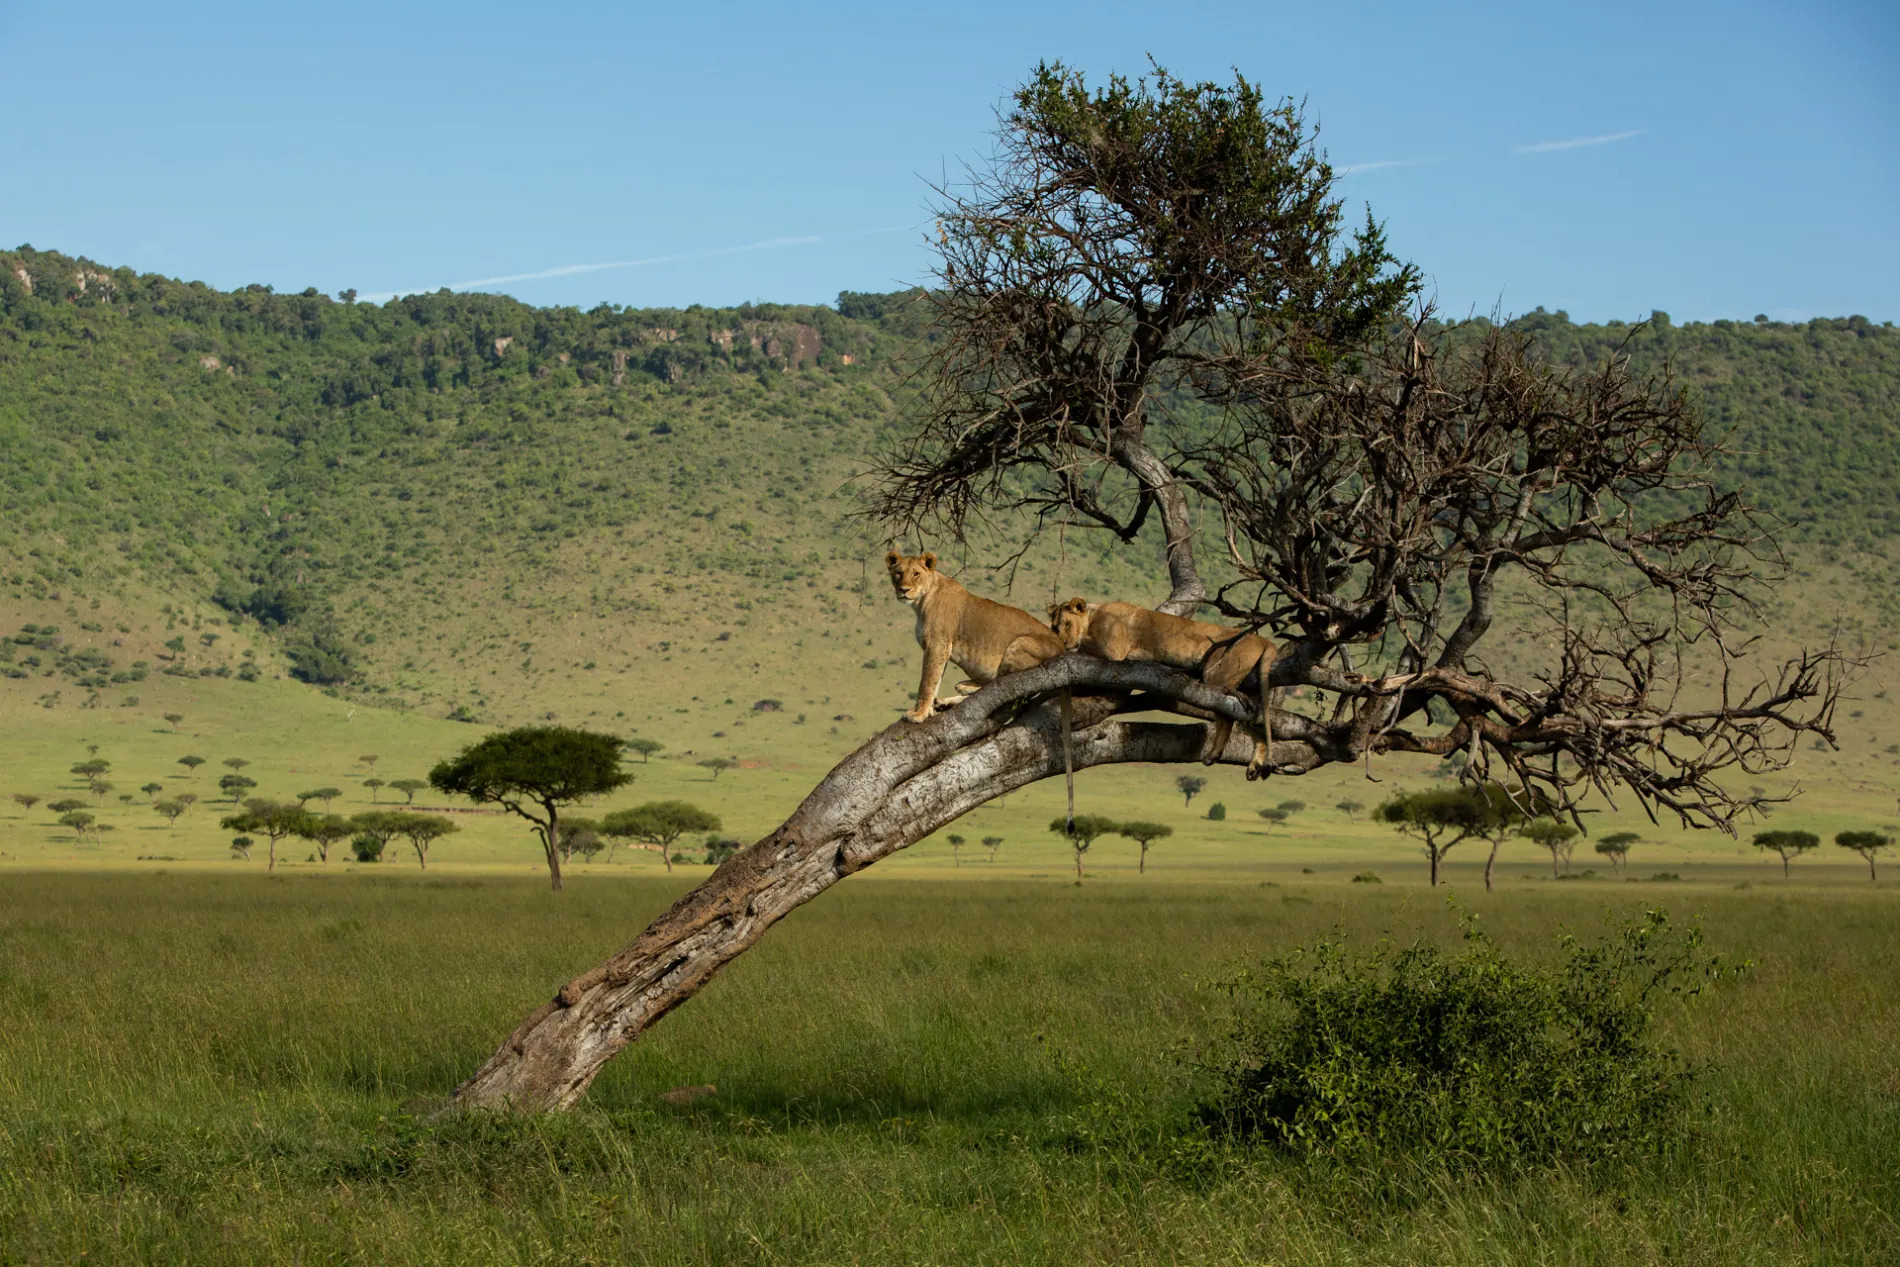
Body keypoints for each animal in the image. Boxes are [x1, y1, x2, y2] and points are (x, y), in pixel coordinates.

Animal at [881, 550, 1064, 721]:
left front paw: (918, 714)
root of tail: (1063, 647)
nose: (903, 589)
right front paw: (930, 709)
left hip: (1019, 644)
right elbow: (936, 680)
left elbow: (927, 682)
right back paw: (950, 698)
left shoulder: (937, 645)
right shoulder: (940, 649)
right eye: (898, 573)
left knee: (999, 687)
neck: (920, 603)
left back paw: (963, 688)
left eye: (916, 574)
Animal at [1056, 596, 1276, 782]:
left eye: (1067, 624)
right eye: (1055, 628)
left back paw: (1213, 755)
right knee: (1254, 722)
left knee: (1226, 717)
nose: (1063, 641)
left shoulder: (1114, 652)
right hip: (1249, 693)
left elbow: (1085, 645)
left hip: (1218, 675)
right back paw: (1255, 764)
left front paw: (1073, 647)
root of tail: (1264, 640)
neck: (1093, 616)